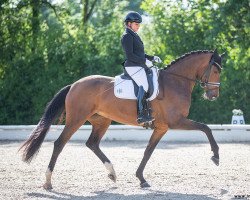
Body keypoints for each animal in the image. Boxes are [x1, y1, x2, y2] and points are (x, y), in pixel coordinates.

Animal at [18, 48, 224, 189]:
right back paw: (48, 182)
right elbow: (206, 128)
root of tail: (74, 84)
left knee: (92, 144)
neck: (176, 81)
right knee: (59, 144)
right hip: (76, 119)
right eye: (215, 71)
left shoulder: (161, 127)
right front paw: (215, 156)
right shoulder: (176, 122)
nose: (213, 96)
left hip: (101, 121)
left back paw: (112, 173)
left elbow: (148, 151)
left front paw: (141, 178)